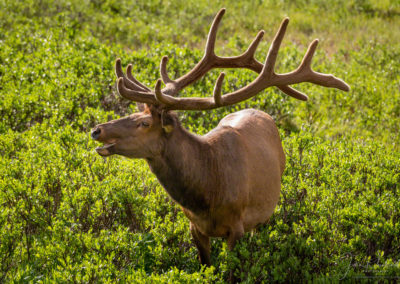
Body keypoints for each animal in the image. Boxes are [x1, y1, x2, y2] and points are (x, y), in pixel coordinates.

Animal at [92, 8, 348, 270]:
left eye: (144, 123)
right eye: (133, 113)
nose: (97, 130)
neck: (208, 194)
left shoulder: (236, 226)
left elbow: (231, 271)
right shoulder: (194, 227)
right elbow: (207, 266)